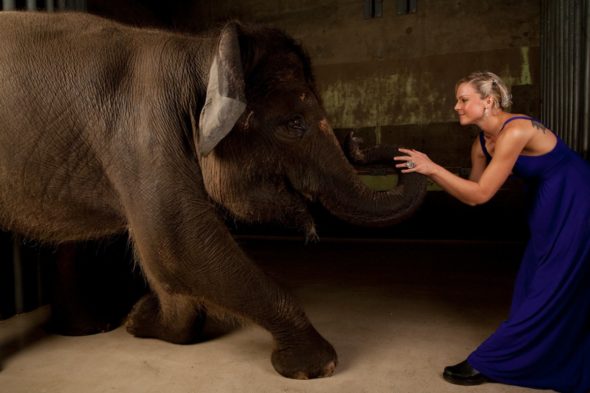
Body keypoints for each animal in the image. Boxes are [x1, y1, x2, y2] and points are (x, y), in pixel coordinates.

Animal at [0, 11, 428, 376]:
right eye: (293, 124)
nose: (357, 140)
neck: (201, 51)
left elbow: (168, 259)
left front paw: (140, 319)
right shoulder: (142, 131)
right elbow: (176, 243)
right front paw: (316, 366)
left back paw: (91, 327)